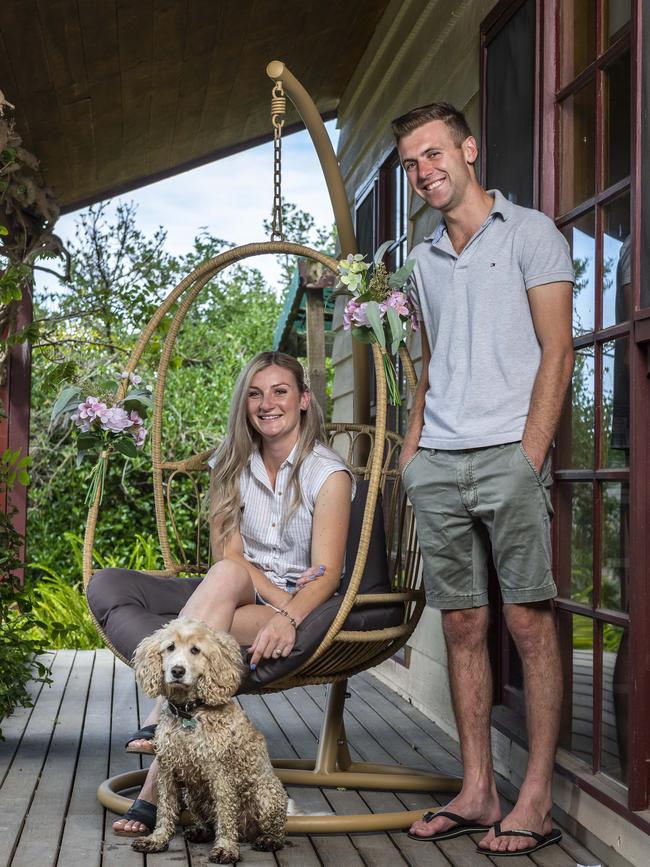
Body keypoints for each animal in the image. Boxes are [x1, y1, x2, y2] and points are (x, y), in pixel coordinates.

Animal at [129, 616, 286, 860]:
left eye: (195, 650)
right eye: (170, 647)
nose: (177, 670)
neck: (188, 713)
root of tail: (246, 833)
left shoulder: (220, 774)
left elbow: (225, 814)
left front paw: (226, 848)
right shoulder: (167, 772)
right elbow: (164, 810)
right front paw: (157, 840)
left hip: (265, 796)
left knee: (276, 831)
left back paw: (267, 840)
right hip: (193, 797)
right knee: (208, 822)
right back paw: (199, 832)